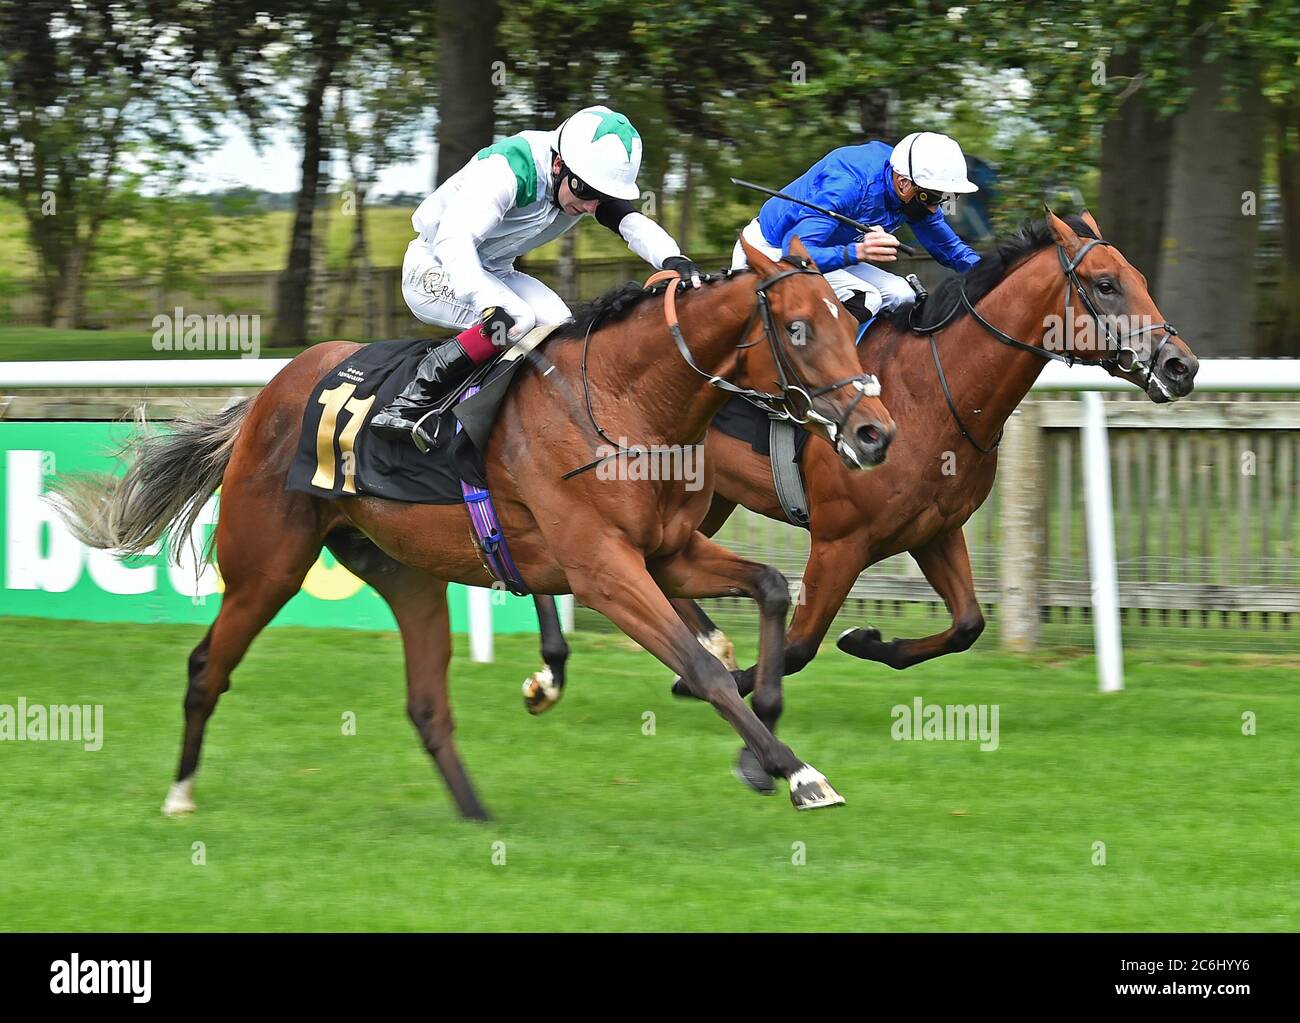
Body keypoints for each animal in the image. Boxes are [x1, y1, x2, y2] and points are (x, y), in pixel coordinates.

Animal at [55, 236, 899, 821]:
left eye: (846, 319)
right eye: (798, 328)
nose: (875, 433)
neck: (622, 399)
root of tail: (266, 394)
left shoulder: (667, 551)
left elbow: (770, 587)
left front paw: (765, 748)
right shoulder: (604, 568)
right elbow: (703, 667)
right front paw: (797, 771)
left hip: (406, 573)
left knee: (427, 703)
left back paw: (477, 814)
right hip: (269, 564)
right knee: (208, 666)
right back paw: (180, 795)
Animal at [522, 210, 1201, 785]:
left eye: (1139, 280)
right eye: (1106, 285)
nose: (1181, 366)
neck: (933, 390)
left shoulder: (935, 530)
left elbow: (967, 624)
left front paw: (864, 641)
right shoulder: (841, 539)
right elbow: (798, 646)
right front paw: (748, 726)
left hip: (700, 503)